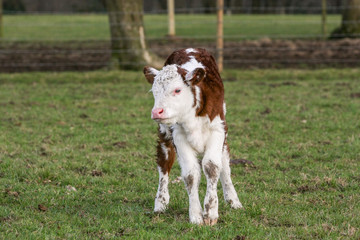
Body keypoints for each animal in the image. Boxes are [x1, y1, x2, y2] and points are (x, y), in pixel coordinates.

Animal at [143, 47, 242, 225]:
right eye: (154, 91)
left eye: (177, 90)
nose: (157, 112)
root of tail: (188, 49)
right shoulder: (178, 136)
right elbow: (190, 174)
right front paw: (196, 215)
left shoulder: (217, 131)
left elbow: (212, 167)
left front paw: (211, 212)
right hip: (164, 134)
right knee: (164, 163)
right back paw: (160, 202)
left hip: (223, 136)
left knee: (225, 165)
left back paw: (233, 200)